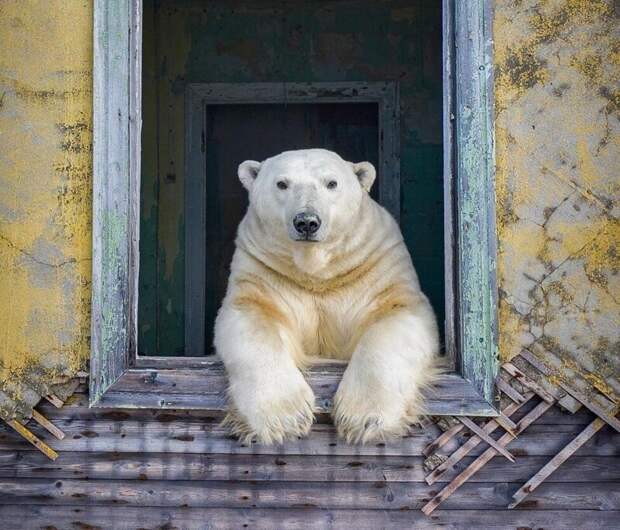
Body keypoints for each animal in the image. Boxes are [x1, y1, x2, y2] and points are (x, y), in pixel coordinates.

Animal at [216, 147, 438, 442]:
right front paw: (285, 418)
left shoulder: (376, 265)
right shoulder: (263, 270)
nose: (307, 222)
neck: (318, 274)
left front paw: (364, 418)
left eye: (331, 183)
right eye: (282, 183)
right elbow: (251, 317)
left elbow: (396, 315)